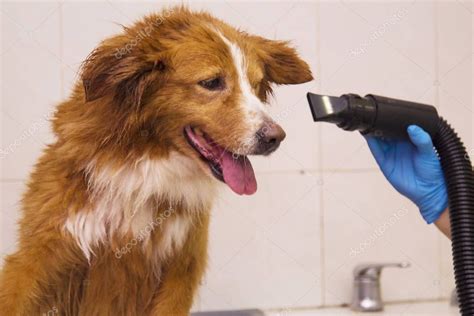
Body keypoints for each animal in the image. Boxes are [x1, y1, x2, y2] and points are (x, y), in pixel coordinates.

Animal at [0, 6, 312, 314]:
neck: (145, 165)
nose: (275, 137)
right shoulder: (39, 256)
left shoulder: (180, 268)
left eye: (256, 85)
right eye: (211, 82)